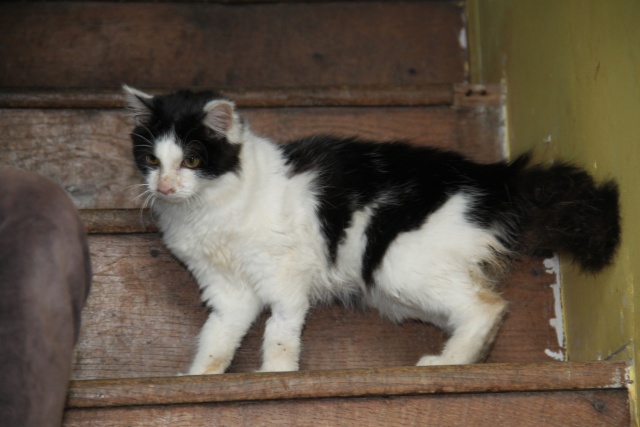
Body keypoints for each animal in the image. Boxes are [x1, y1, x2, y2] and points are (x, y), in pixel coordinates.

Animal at [122, 84, 616, 374]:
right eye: (151, 160)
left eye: (192, 160)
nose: (164, 186)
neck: (208, 210)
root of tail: (494, 173)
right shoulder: (227, 291)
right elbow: (217, 339)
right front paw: (202, 377)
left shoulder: (284, 275)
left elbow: (280, 330)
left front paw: (276, 374)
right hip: (402, 288)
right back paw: (467, 359)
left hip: (398, 264)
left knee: (487, 305)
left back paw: (446, 363)